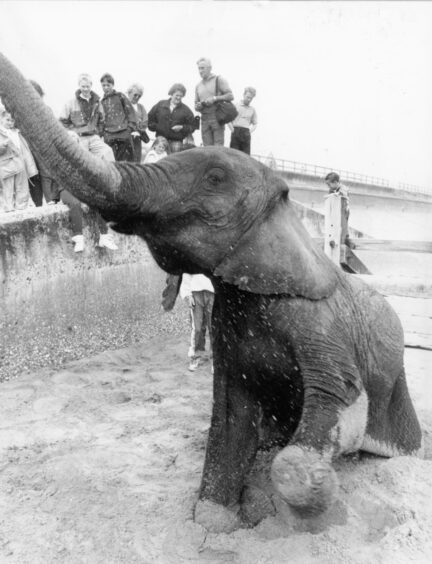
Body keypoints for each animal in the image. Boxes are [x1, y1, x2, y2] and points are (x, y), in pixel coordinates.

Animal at [0, 53, 422, 532]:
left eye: (215, 178)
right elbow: (229, 416)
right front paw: (215, 518)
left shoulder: (319, 323)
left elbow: (337, 404)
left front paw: (307, 511)